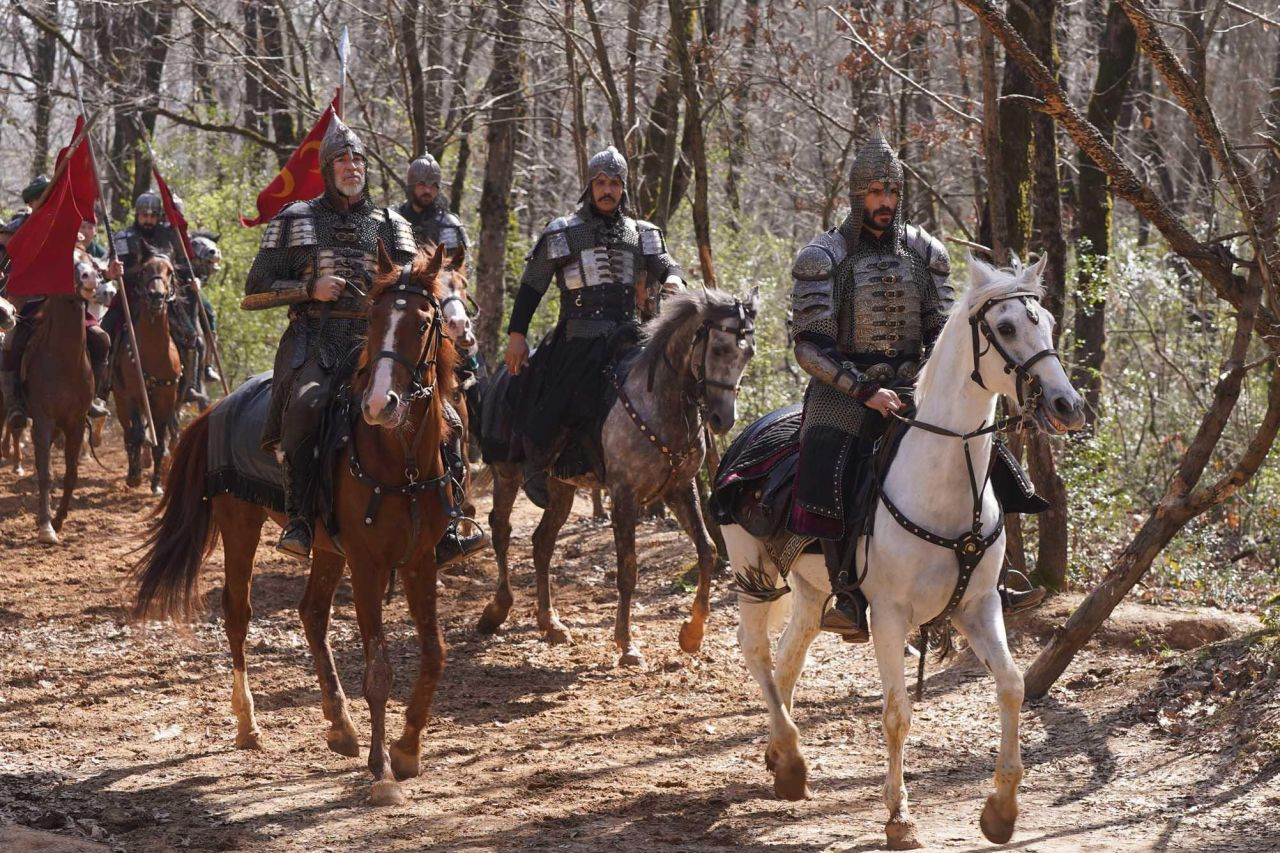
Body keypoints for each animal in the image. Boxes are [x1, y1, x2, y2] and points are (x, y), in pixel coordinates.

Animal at [111, 249, 181, 491]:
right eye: (144, 270)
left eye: (170, 271)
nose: (156, 296)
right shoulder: (132, 395)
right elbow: (137, 435)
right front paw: (134, 476)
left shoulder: (166, 401)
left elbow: (160, 442)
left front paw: (157, 483)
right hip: (121, 400)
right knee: (129, 433)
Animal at [133, 244, 460, 804]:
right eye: (374, 320)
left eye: (421, 323)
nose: (380, 405)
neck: (400, 459)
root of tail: (219, 406)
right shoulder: (368, 566)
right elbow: (378, 668)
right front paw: (383, 773)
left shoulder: (420, 560)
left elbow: (434, 653)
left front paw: (407, 749)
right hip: (240, 523)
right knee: (238, 613)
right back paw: (249, 725)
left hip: (326, 548)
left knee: (311, 613)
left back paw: (340, 726)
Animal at [727, 256, 1085, 845]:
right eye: (1006, 327)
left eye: (1049, 324)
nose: (1066, 405)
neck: (942, 479)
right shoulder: (890, 616)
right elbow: (897, 712)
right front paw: (898, 816)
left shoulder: (978, 605)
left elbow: (1011, 686)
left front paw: (1001, 809)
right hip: (752, 573)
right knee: (756, 652)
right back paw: (793, 761)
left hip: (811, 589)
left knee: (790, 655)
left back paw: (783, 756)